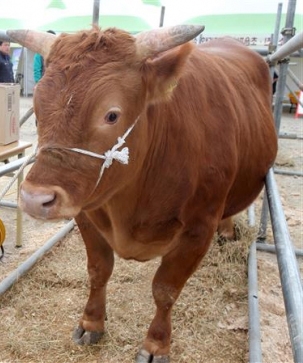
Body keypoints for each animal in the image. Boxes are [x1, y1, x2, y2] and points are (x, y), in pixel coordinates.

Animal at [7, 26, 278, 363]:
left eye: (111, 115)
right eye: (38, 110)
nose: (35, 198)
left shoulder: (198, 230)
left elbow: (165, 289)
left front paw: (156, 344)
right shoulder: (86, 214)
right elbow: (98, 271)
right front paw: (91, 322)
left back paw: (227, 232)